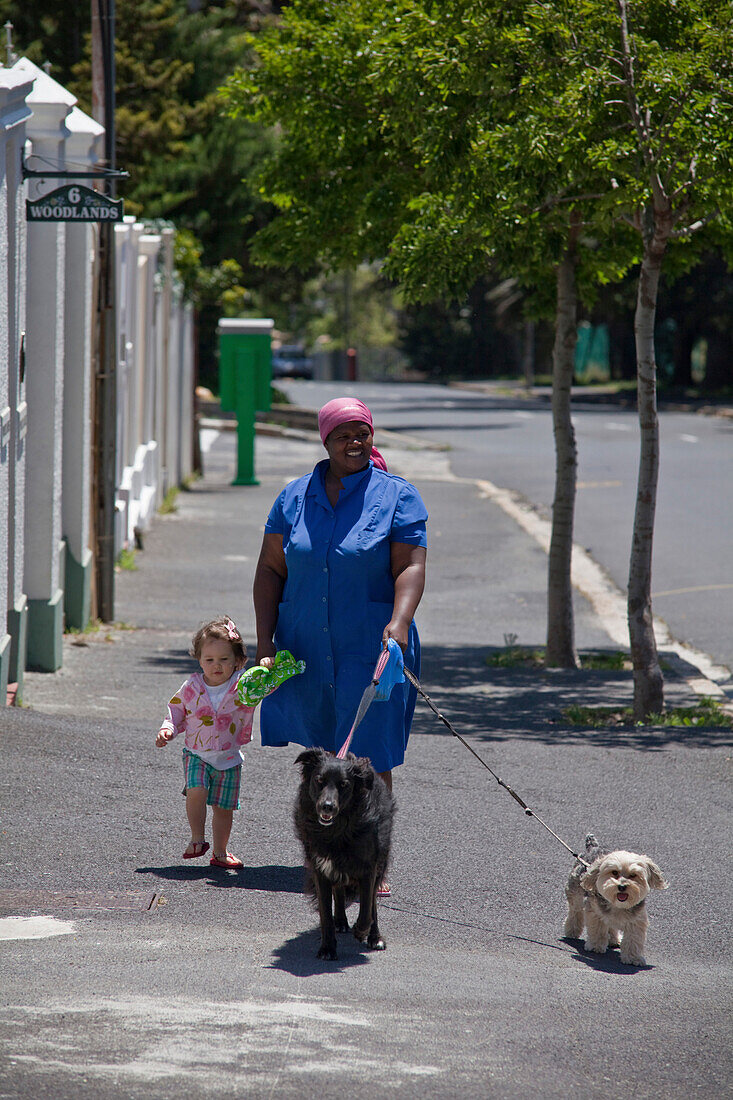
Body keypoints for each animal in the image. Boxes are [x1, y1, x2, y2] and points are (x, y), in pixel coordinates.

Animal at [294, 743, 394, 959]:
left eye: (344, 785)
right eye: (319, 780)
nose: (327, 807)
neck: (336, 829)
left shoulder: (368, 868)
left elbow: (366, 908)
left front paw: (361, 931)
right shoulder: (321, 868)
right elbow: (325, 913)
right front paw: (327, 948)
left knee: (372, 903)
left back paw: (374, 937)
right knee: (338, 891)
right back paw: (340, 921)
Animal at [561, 831, 664, 963]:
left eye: (633, 875)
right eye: (614, 872)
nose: (622, 886)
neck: (617, 905)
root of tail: (593, 847)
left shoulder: (636, 921)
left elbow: (633, 939)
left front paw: (632, 957)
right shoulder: (595, 912)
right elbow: (597, 929)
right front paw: (596, 946)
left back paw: (613, 939)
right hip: (576, 893)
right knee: (575, 912)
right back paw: (572, 931)